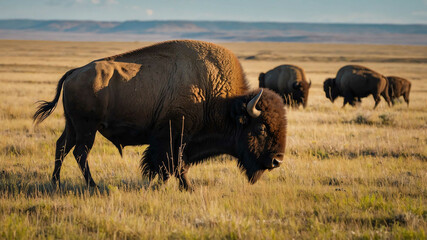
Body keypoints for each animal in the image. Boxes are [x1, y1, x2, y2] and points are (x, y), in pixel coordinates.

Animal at [33, 39, 288, 191]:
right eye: (261, 127)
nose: (277, 161)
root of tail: (75, 72)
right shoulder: (175, 137)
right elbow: (173, 164)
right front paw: (183, 187)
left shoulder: (177, 140)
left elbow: (169, 165)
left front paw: (171, 185)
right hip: (87, 128)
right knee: (80, 153)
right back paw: (92, 185)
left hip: (72, 125)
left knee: (62, 147)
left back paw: (55, 182)